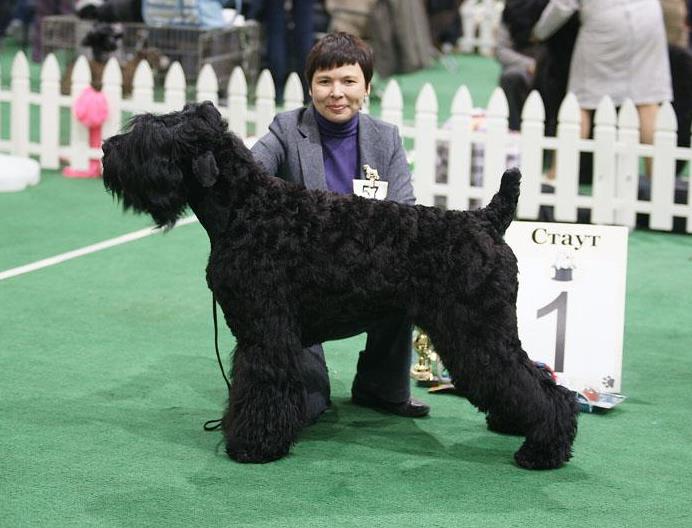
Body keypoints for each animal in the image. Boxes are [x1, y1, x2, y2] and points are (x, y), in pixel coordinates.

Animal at [102, 101, 580, 468]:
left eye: (152, 135)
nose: (107, 148)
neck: (246, 207)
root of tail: (486, 220)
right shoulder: (259, 333)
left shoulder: (265, 335)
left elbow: (259, 388)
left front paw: (252, 446)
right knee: (530, 375)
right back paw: (515, 426)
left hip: (478, 332)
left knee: (539, 386)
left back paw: (543, 450)